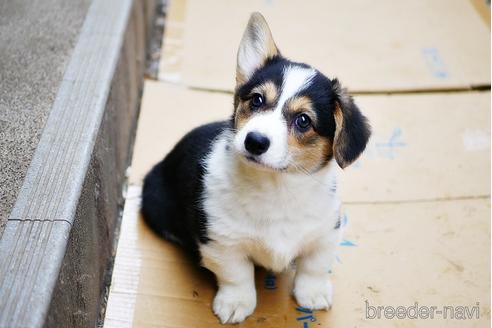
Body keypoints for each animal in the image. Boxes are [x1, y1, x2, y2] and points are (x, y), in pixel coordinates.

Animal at [141, 12, 368, 326]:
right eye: (257, 100)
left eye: (303, 120)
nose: (254, 141)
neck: (277, 187)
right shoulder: (221, 243)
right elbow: (237, 275)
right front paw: (236, 303)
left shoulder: (325, 232)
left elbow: (315, 265)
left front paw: (312, 294)